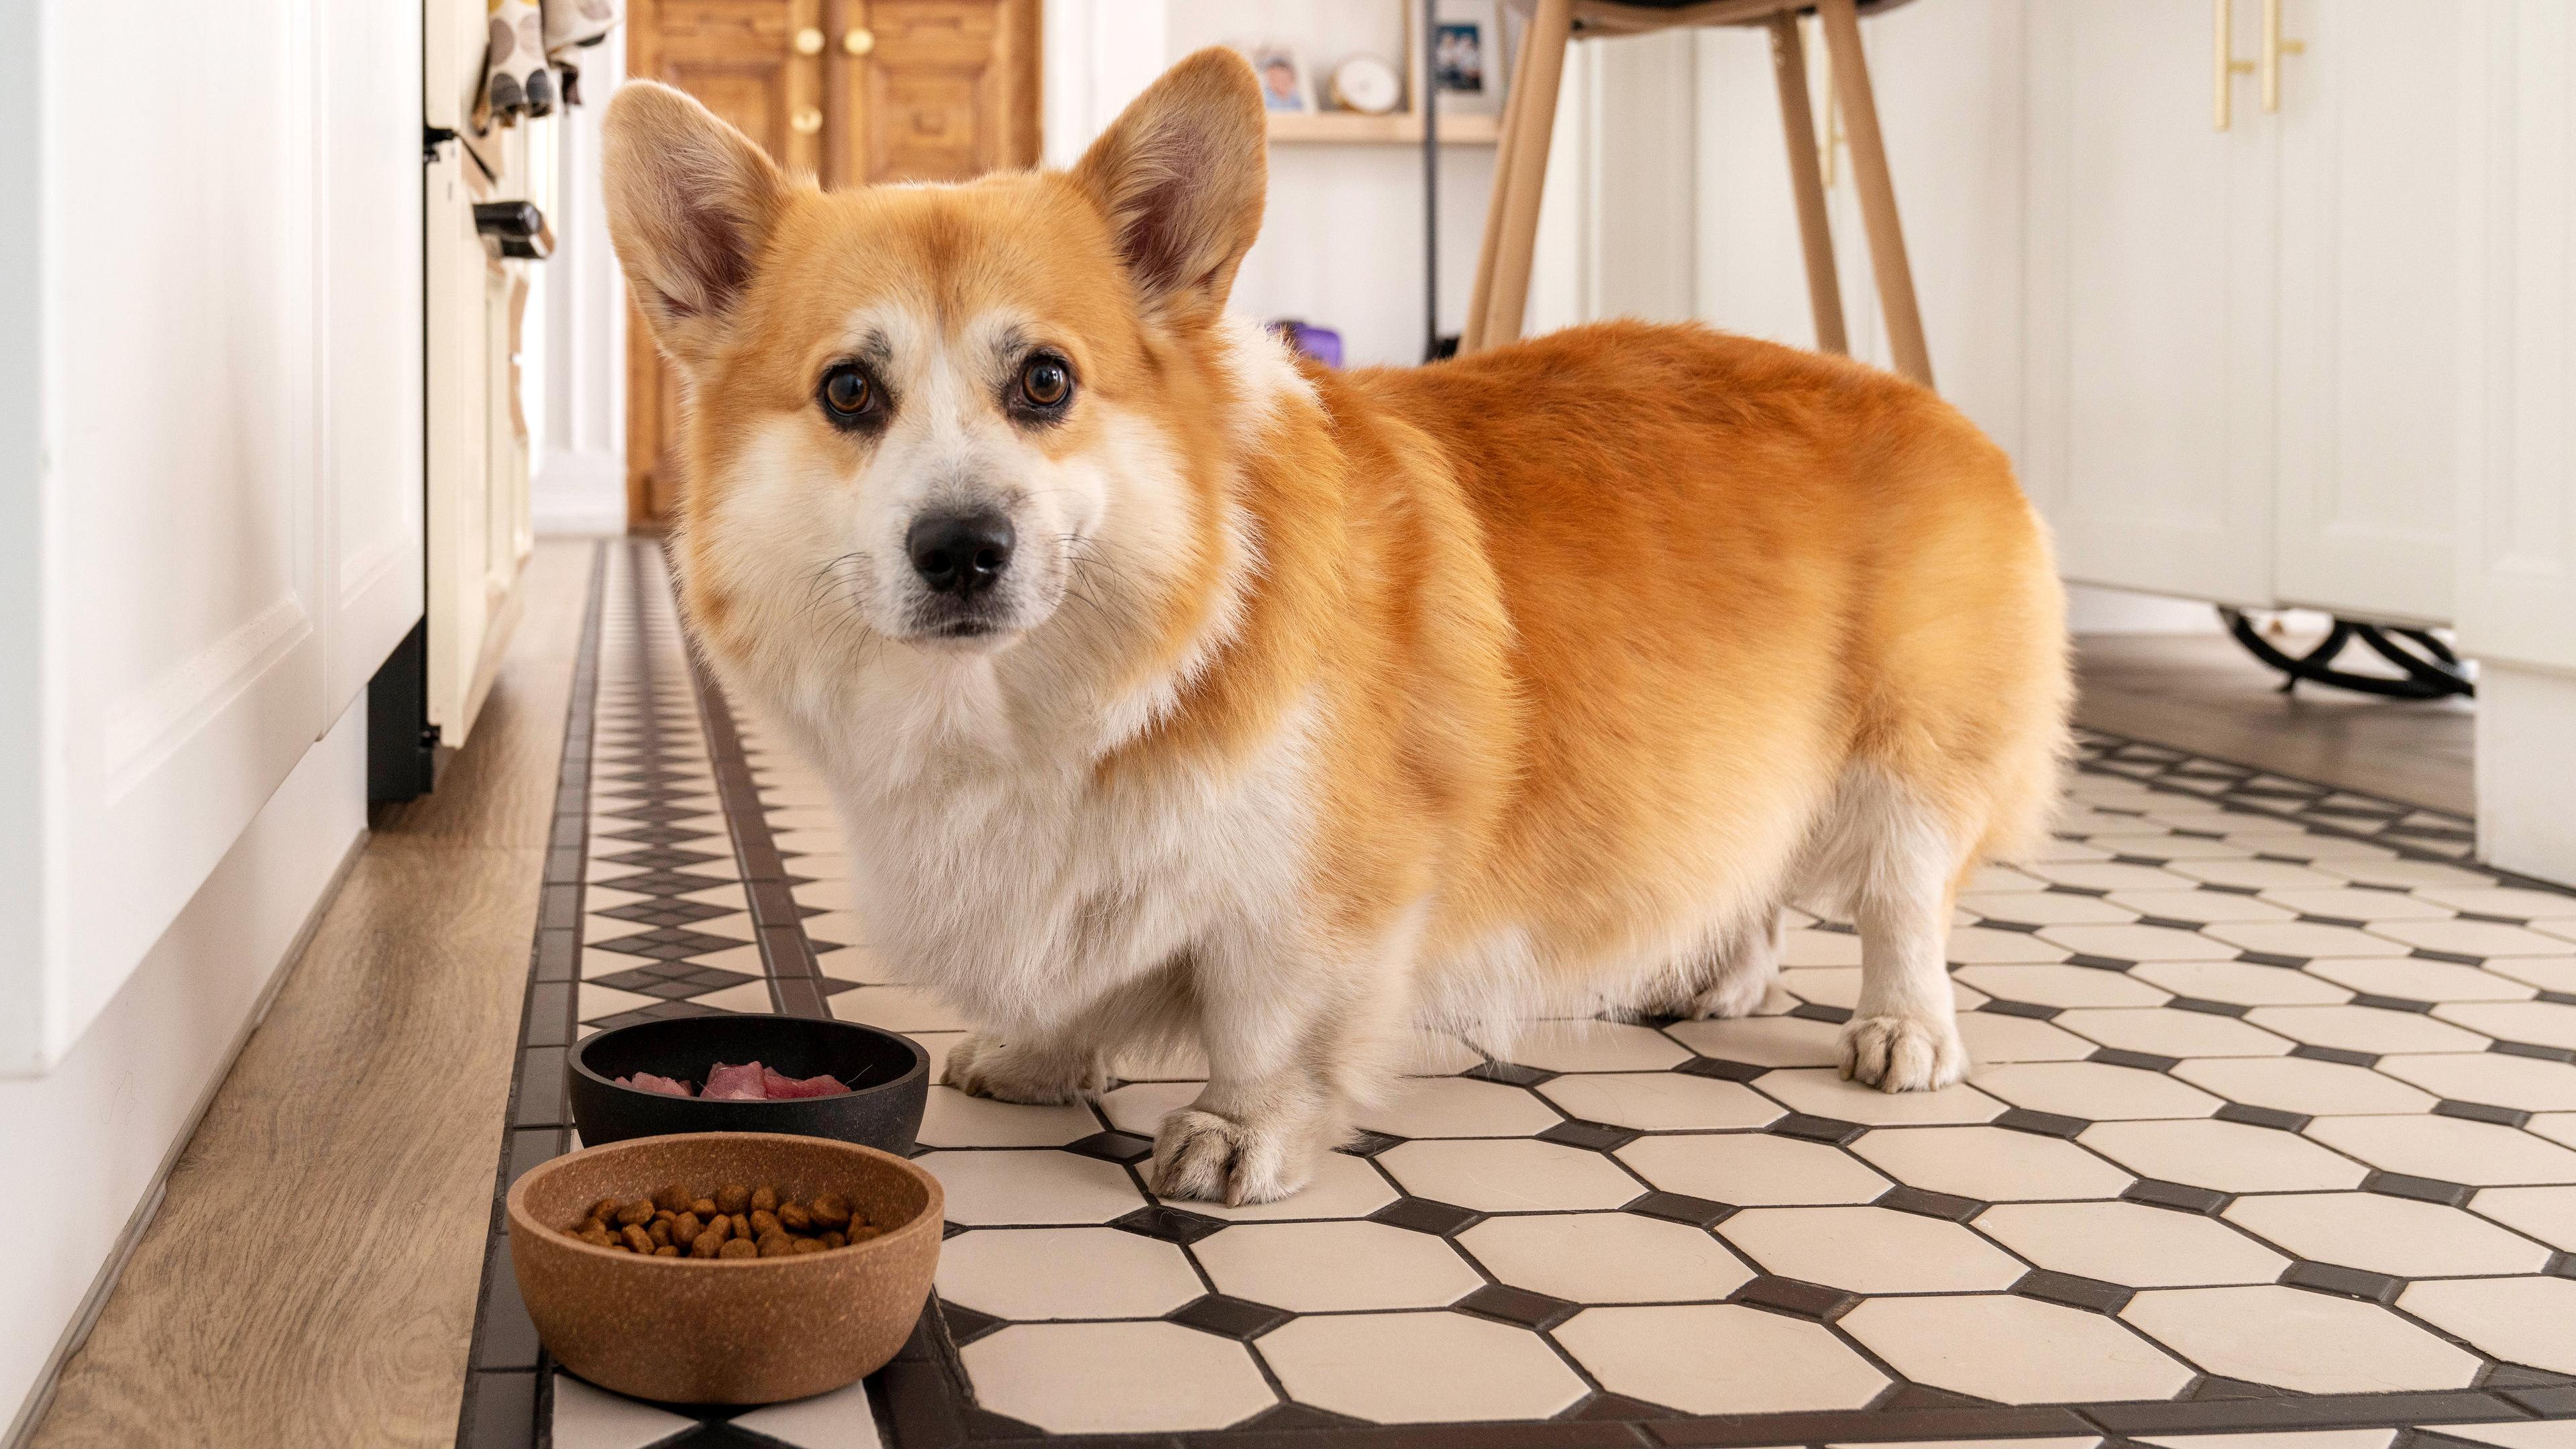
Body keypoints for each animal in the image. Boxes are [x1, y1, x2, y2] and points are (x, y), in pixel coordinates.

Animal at [602, 48, 2071, 1196]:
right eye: (849, 391)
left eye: (1046, 381)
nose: (962, 550)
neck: (1061, 700)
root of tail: (1943, 412)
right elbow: (1073, 982)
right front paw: (1039, 1061)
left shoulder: (1321, 889)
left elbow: (1269, 1022)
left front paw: (1239, 1138)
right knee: (1756, 874)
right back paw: (1719, 974)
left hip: (1909, 762)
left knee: (1902, 902)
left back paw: (1905, 1034)